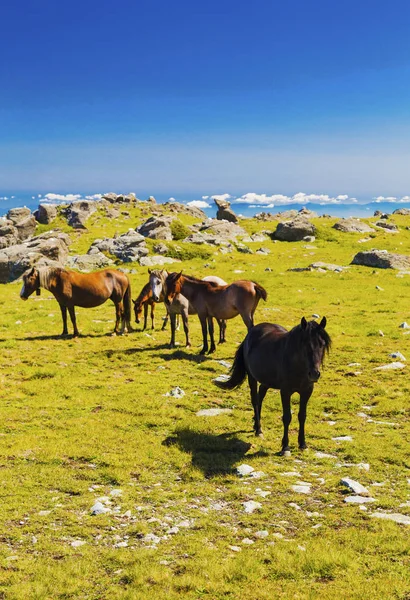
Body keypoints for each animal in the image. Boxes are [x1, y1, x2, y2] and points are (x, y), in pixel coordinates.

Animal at [215, 318, 330, 454]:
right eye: (305, 344)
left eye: (322, 344)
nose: (314, 374)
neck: (298, 366)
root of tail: (250, 334)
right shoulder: (285, 392)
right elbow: (287, 417)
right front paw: (285, 447)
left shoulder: (306, 391)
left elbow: (302, 416)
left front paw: (303, 444)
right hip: (252, 377)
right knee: (255, 400)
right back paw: (258, 430)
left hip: (266, 381)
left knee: (260, 396)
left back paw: (256, 424)